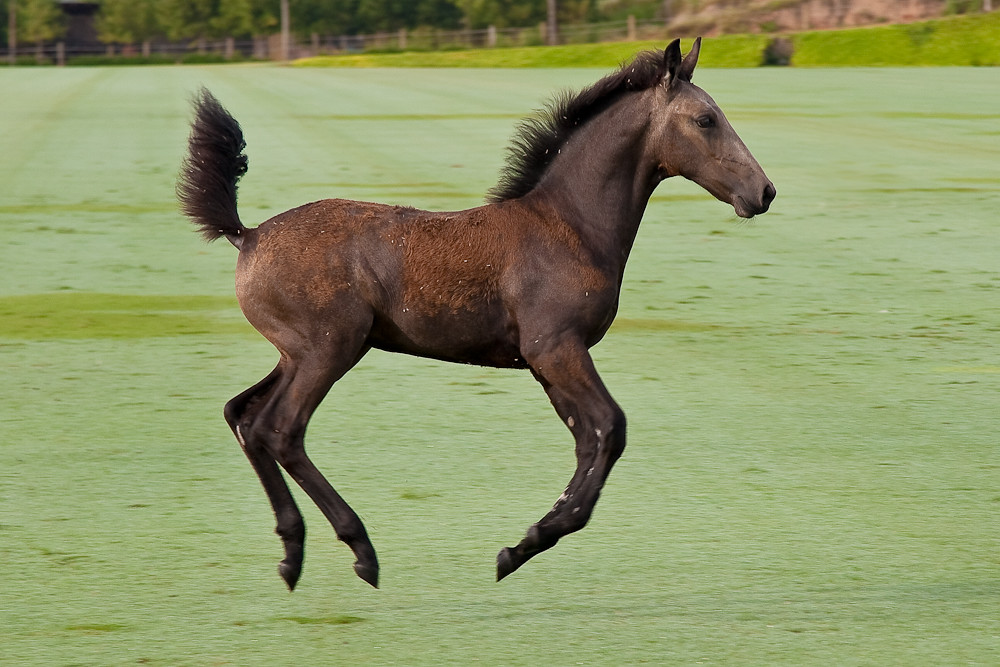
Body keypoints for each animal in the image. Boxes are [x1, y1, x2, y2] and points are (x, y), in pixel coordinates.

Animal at [178, 38, 775, 590]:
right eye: (705, 119)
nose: (764, 192)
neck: (570, 226)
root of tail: (248, 234)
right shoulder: (555, 346)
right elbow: (611, 427)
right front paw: (528, 542)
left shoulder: (544, 360)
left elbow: (587, 438)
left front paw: (525, 544)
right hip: (329, 349)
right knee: (281, 429)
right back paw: (360, 550)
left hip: (297, 353)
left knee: (243, 415)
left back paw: (292, 553)